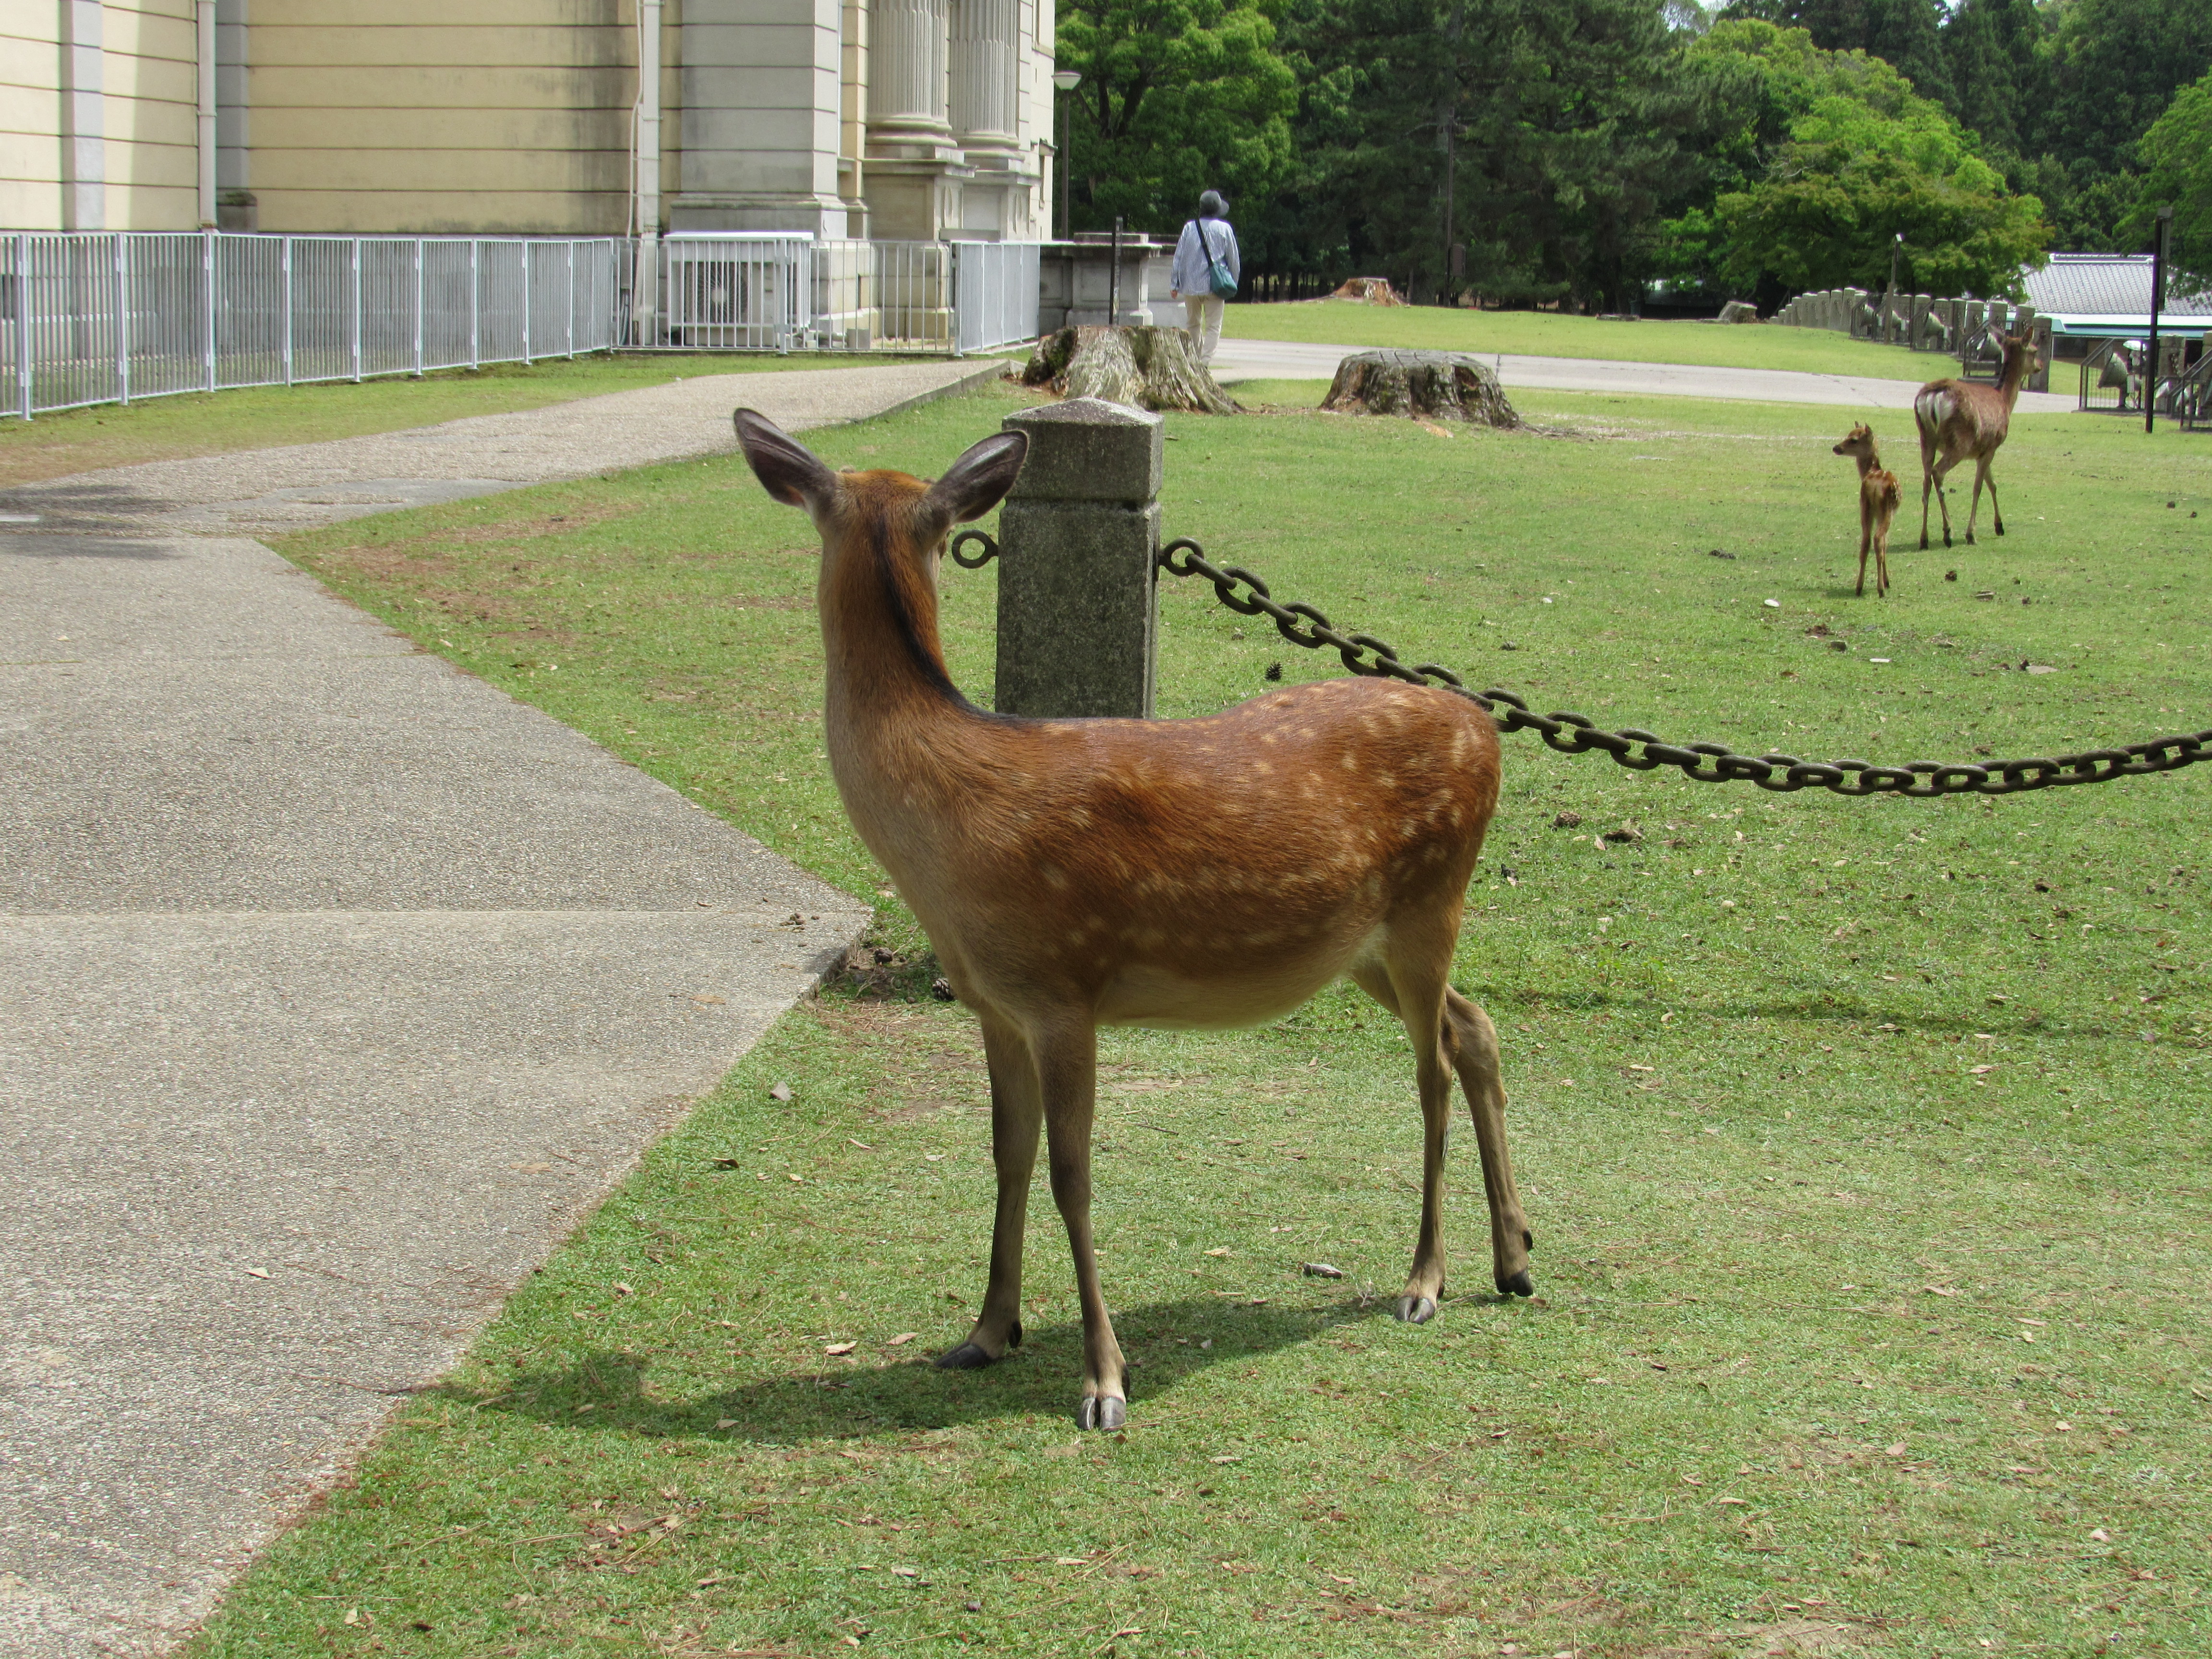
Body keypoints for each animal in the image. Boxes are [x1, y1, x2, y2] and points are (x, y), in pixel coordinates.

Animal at [731, 408, 1533, 1431]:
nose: (989, 1336)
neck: (948, 834)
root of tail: (1486, 730)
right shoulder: (993, 1000)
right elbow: (1007, 1154)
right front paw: (984, 1333)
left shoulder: (1063, 984)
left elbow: (1071, 1173)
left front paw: (1103, 1380)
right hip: (1367, 942)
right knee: (1475, 1029)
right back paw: (1513, 1260)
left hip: (1434, 896)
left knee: (1429, 1071)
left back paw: (1424, 1281)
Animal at [1833, 423, 1902, 598]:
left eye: (1853, 439)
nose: (1836, 448)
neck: (1872, 470)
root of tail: (1876, 487)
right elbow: (1885, 544)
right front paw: (1887, 581)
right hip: (1886, 510)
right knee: (1878, 540)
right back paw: (1881, 589)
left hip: (1865, 507)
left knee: (1865, 541)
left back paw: (1859, 587)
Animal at [1913, 327, 2041, 550]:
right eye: (2034, 350)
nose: (2040, 365)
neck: (2005, 402)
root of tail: (1933, 397)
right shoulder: (1993, 445)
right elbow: (1978, 487)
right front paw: (1972, 534)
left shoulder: (1984, 450)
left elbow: (1993, 484)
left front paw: (2000, 526)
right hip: (1960, 441)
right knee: (1938, 473)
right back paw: (1948, 533)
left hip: (1926, 439)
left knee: (1926, 482)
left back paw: (1924, 538)